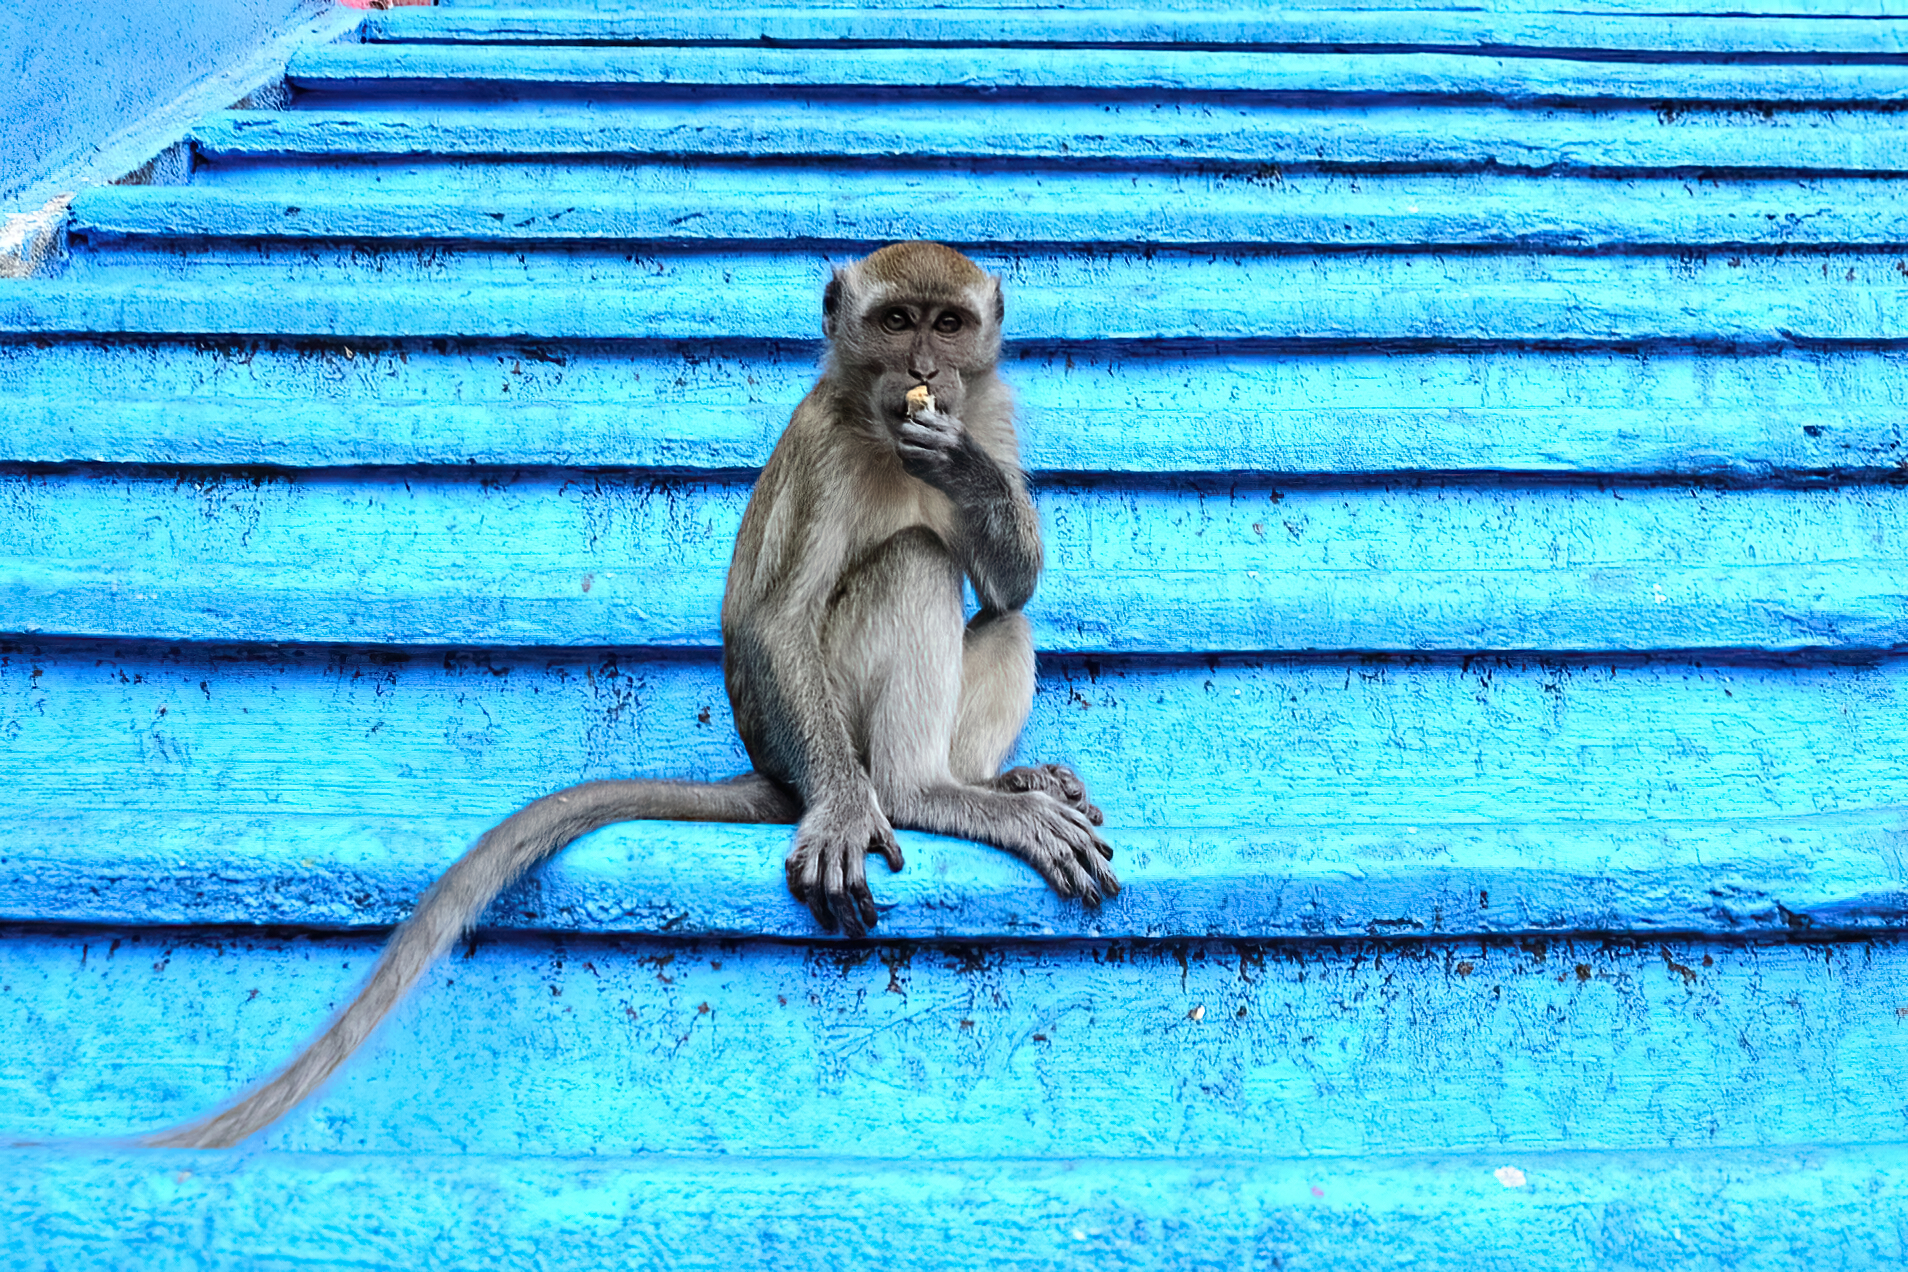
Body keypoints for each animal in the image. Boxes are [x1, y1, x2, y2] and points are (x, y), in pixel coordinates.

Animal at [143, 241, 1118, 1149]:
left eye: (948, 326)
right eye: (896, 322)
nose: (924, 370)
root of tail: (774, 768)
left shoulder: (991, 412)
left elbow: (1012, 586)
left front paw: (965, 473)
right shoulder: (829, 446)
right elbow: (773, 622)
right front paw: (849, 811)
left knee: (1002, 617)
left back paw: (993, 784)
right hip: (830, 724)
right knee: (916, 565)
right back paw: (923, 793)